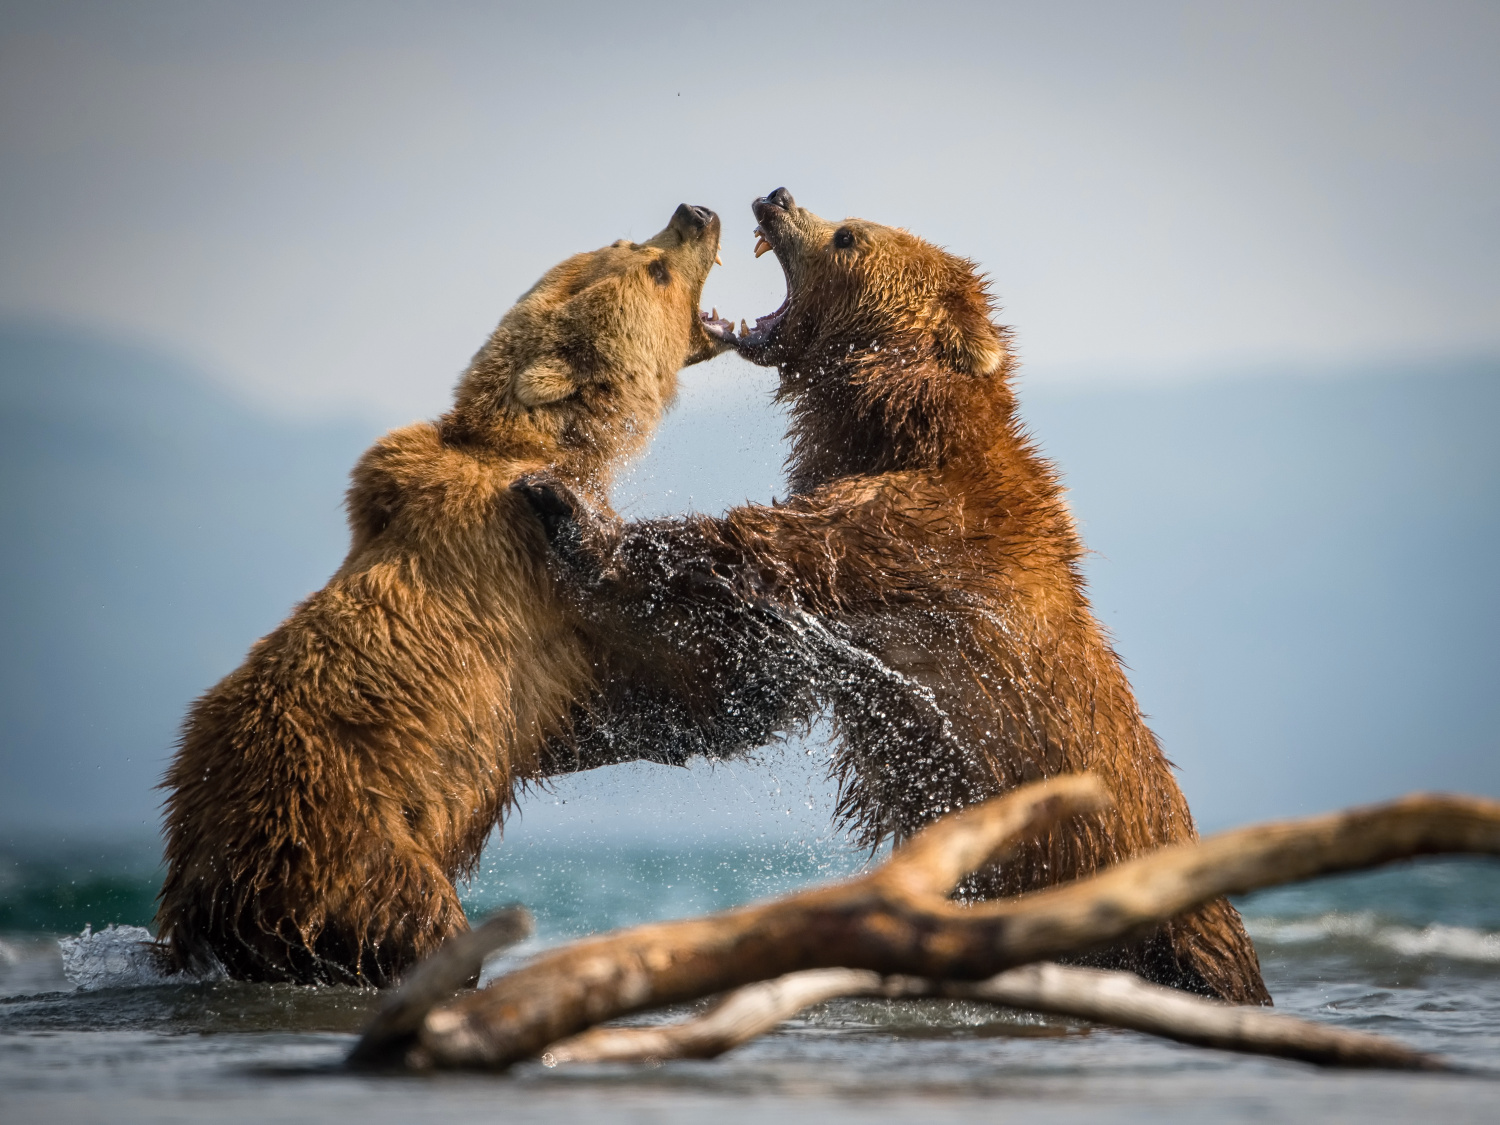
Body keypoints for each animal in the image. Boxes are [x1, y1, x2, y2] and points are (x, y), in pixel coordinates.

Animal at [155, 205, 729, 984]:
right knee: (415, 917)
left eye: (625, 240)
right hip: (350, 838)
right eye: (656, 267)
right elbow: (650, 638)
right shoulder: (539, 579)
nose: (695, 213)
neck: (542, 444)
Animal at [522, 189, 1272, 1008]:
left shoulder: (921, 539)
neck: (895, 423)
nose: (777, 195)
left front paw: (571, 508)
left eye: (848, 236)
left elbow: (772, 548)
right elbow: (740, 684)